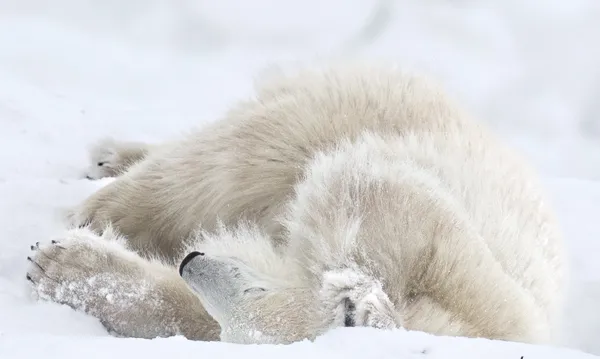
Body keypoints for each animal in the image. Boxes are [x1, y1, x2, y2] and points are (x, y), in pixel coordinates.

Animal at [24, 64, 568, 346]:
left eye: (246, 305)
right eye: (257, 290)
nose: (192, 262)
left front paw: (64, 269)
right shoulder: (451, 255)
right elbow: (358, 186)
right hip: (359, 103)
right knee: (238, 156)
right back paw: (106, 188)